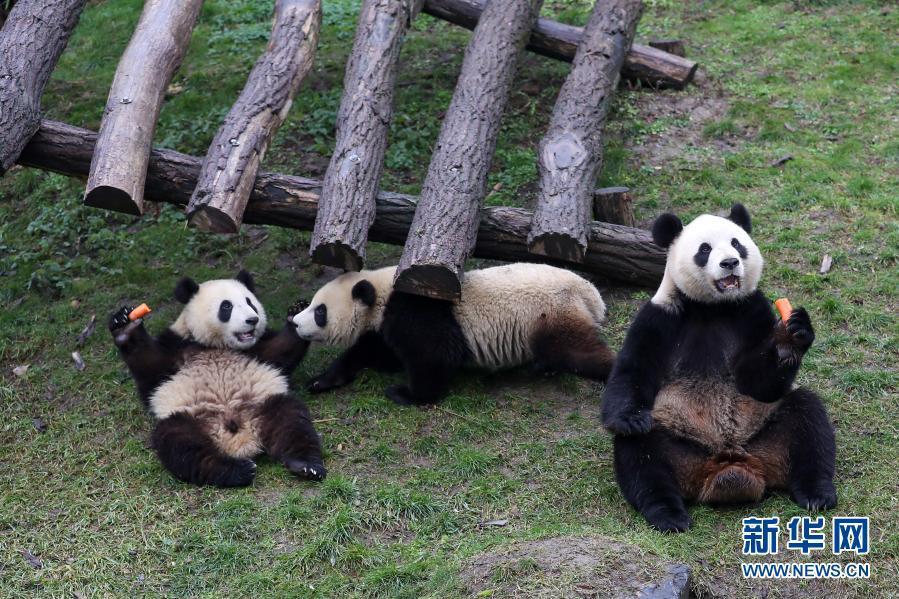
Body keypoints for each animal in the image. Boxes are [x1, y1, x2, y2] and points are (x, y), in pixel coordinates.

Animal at [109, 270, 326, 487]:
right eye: (226, 306)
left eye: (250, 302)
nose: (252, 320)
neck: (217, 346)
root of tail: (241, 440)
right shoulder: (175, 349)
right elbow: (149, 364)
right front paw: (125, 326)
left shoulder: (258, 351)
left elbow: (281, 349)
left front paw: (298, 312)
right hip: (190, 417)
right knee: (181, 445)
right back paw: (235, 471)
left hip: (263, 403)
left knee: (292, 421)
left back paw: (306, 465)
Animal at [291, 263, 615, 406]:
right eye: (312, 304)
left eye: (319, 312)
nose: (294, 323)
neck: (382, 295)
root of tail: (590, 293)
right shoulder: (383, 327)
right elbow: (372, 352)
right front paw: (321, 381)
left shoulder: (417, 310)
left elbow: (435, 355)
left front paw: (406, 394)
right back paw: (544, 368)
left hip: (549, 312)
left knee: (576, 349)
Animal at [601, 204, 836, 532]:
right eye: (705, 249)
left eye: (737, 243)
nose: (730, 262)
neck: (712, 307)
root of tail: (730, 467)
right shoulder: (660, 318)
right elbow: (633, 371)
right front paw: (631, 418)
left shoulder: (751, 311)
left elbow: (760, 384)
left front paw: (791, 337)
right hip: (677, 445)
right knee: (642, 457)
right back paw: (668, 514)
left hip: (766, 433)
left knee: (808, 420)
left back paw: (817, 494)